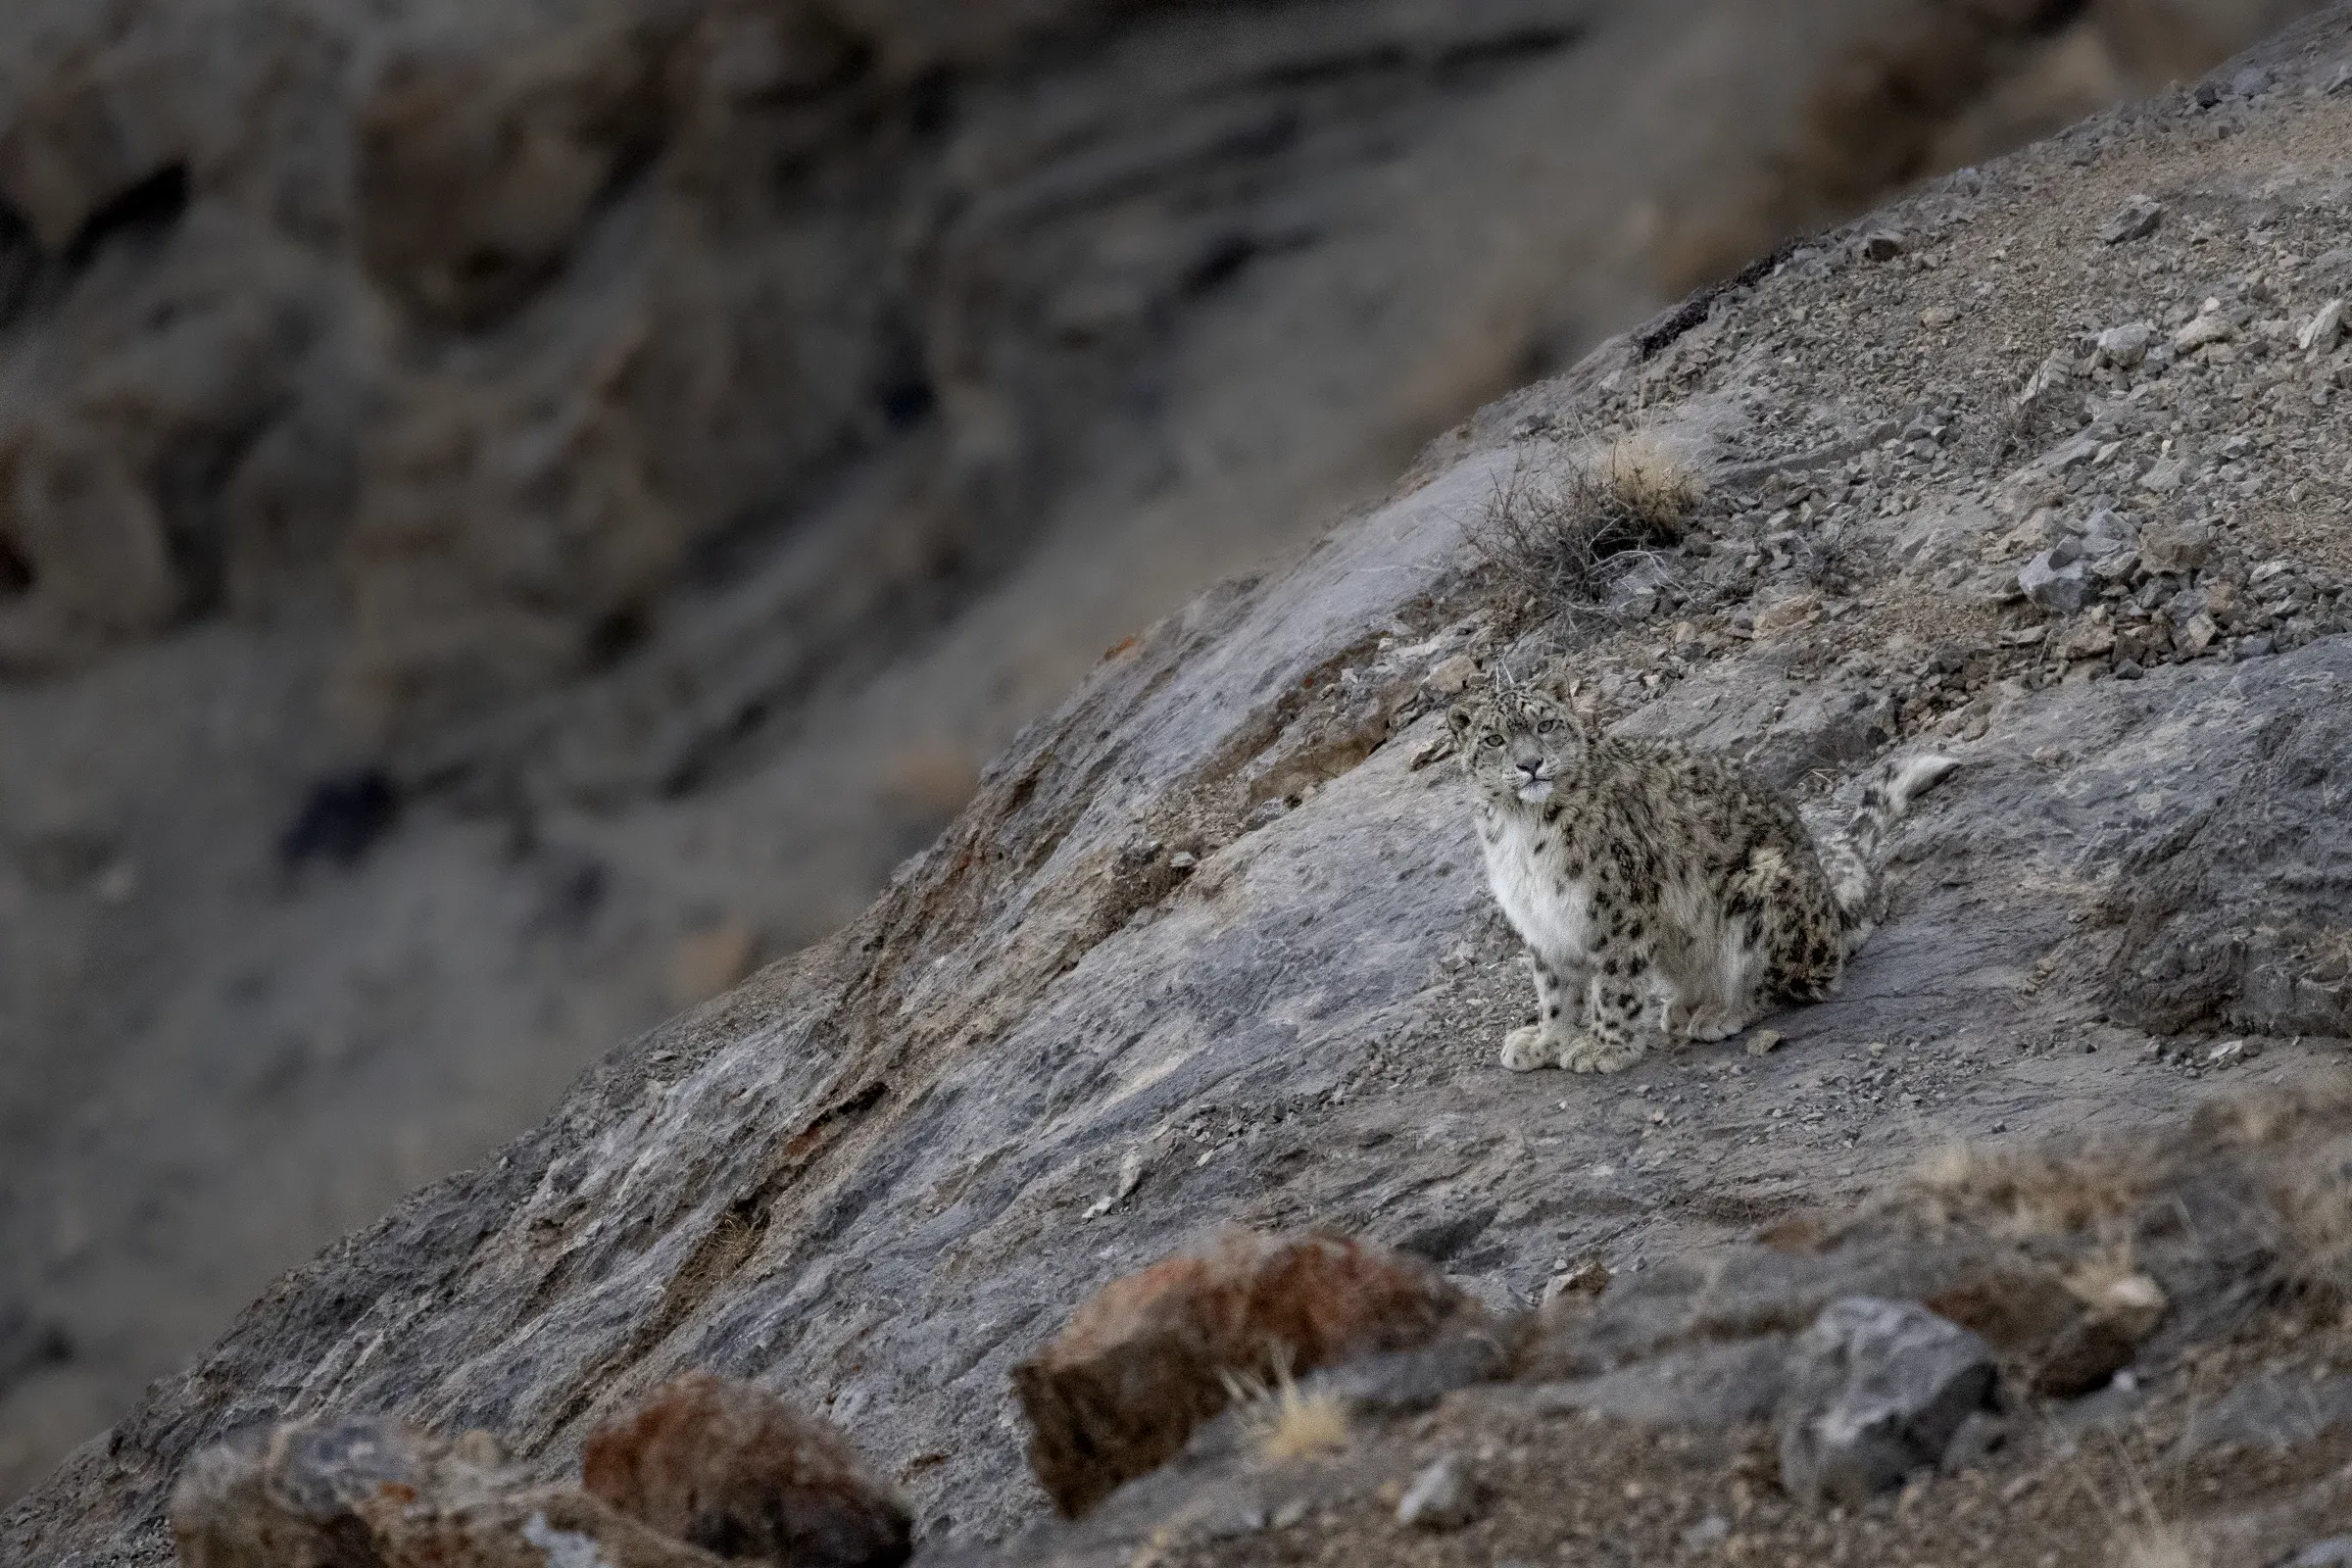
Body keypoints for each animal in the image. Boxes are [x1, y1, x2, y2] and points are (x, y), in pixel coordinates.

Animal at [1449, 671, 1957, 1074]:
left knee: (1798, 981)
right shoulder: (1541, 919)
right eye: (1493, 740)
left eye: (1546, 725)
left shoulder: (1619, 908)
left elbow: (1615, 984)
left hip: (1761, 890)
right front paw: (1545, 1042)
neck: (1521, 830)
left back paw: (1721, 1012)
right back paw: (1686, 1005)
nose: (1530, 764)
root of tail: (1832, 910)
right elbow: (1555, 991)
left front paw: (1606, 1048)